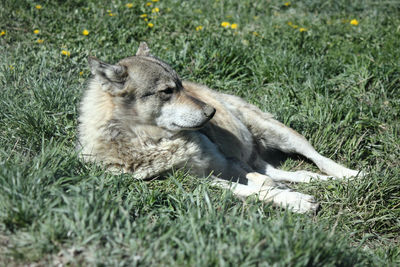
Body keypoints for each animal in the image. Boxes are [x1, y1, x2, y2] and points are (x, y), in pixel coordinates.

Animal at [78, 42, 362, 214]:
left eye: (181, 85)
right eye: (167, 91)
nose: (211, 112)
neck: (154, 143)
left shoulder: (229, 164)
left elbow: (261, 183)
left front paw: (289, 195)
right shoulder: (197, 182)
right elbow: (257, 190)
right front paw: (295, 201)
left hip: (280, 135)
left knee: (316, 159)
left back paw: (352, 175)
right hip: (258, 157)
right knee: (297, 174)